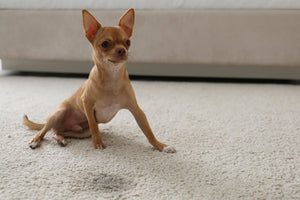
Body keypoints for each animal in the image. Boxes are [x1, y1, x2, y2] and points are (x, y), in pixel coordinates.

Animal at [23, 8, 176, 153]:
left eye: (128, 42)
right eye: (105, 44)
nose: (122, 50)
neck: (112, 78)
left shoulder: (137, 110)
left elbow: (148, 132)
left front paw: (161, 146)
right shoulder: (87, 103)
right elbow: (94, 126)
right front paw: (98, 143)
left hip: (82, 132)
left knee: (57, 132)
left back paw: (60, 139)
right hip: (57, 115)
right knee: (43, 131)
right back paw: (35, 141)